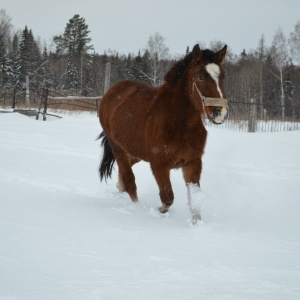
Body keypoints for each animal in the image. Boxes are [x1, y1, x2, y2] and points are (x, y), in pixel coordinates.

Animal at [98, 44, 227, 223]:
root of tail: (111, 92)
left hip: (135, 152)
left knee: (123, 176)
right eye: (200, 77)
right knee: (129, 181)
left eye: (223, 76)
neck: (179, 124)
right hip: (118, 148)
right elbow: (168, 198)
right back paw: (135, 208)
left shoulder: (193, 162)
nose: (219, 113)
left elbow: (194, 202)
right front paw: (159, 212)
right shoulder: (159, 163)